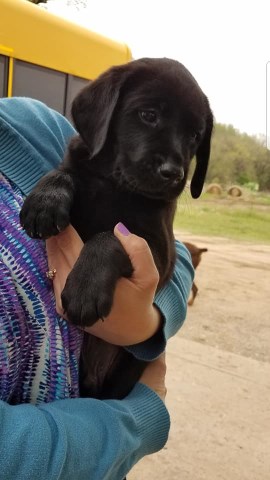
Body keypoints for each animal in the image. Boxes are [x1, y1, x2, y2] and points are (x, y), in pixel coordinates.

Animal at [20, 57, 213, 398]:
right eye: (149, 115)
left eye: (195, 136)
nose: (174, 174)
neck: (113, 183)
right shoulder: (80, 167)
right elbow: (65, 172)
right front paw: (45, 201)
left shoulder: (158, 252)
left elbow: (111, 236)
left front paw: (85, 288)